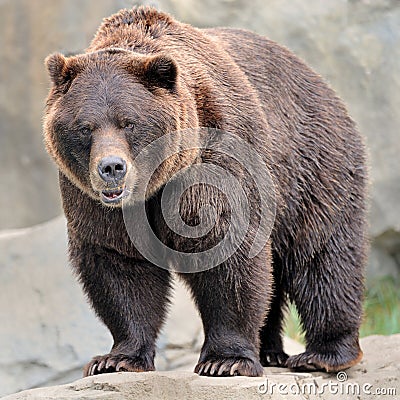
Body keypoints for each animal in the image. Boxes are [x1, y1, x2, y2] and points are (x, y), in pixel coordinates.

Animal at [43, 4, 366, 376]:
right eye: (85, 127)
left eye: (129, 122)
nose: (111, 168)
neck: (155, 183)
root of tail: (318, 80)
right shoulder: (91, 198)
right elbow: (118, 261)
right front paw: (116, 358)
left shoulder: (217, 156)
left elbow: (224, 248)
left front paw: (225, 361)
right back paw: (270, 351)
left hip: (310, 166)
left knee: (323, 256)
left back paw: (323, 353)